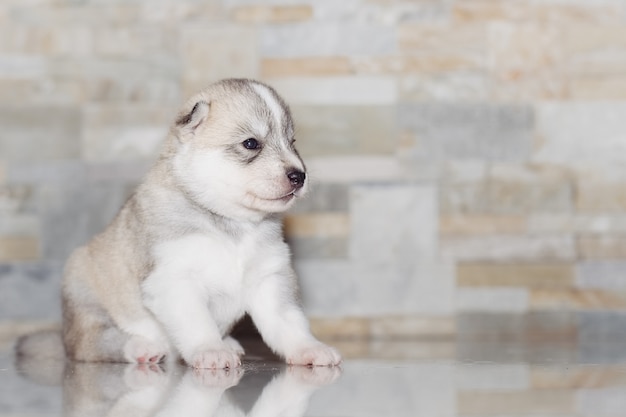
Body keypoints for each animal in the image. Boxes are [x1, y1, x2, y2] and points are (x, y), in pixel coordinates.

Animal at [18, 78, 342, 368]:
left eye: (292, 142)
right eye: (251, 143)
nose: (299, 176)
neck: (233, 224)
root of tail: (62, 337)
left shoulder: (270, 278)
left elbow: (289, 323)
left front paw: (309, 349)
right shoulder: (174, 280)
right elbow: (197, 322)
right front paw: (210, 350)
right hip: (87, 300)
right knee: (93, 344)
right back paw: (142, 347)